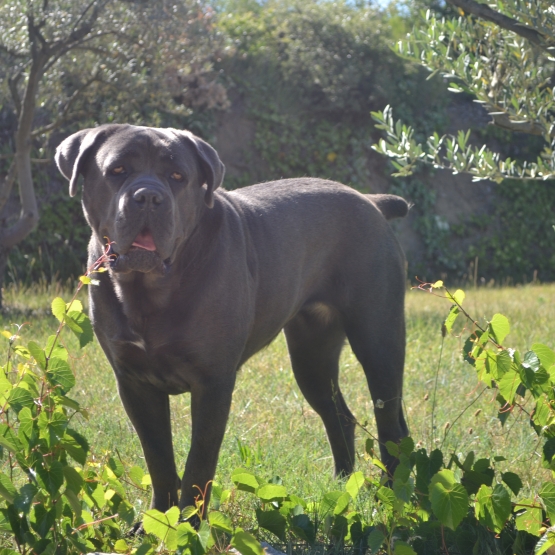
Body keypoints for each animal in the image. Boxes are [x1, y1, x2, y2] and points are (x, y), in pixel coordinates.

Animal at [55, 124, 408, 516]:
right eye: (117, 170)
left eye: (177, 176)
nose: (148, 196)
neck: (149, 291)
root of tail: (369, 200)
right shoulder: (135, 383)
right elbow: (158, 458)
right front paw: (158, 519)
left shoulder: (212, 383)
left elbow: (198, 462)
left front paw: (188, 523)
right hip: (311, 356)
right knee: (340, 416)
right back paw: (342, 488)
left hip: (378, 341)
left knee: (389, 424)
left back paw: (391, 497)